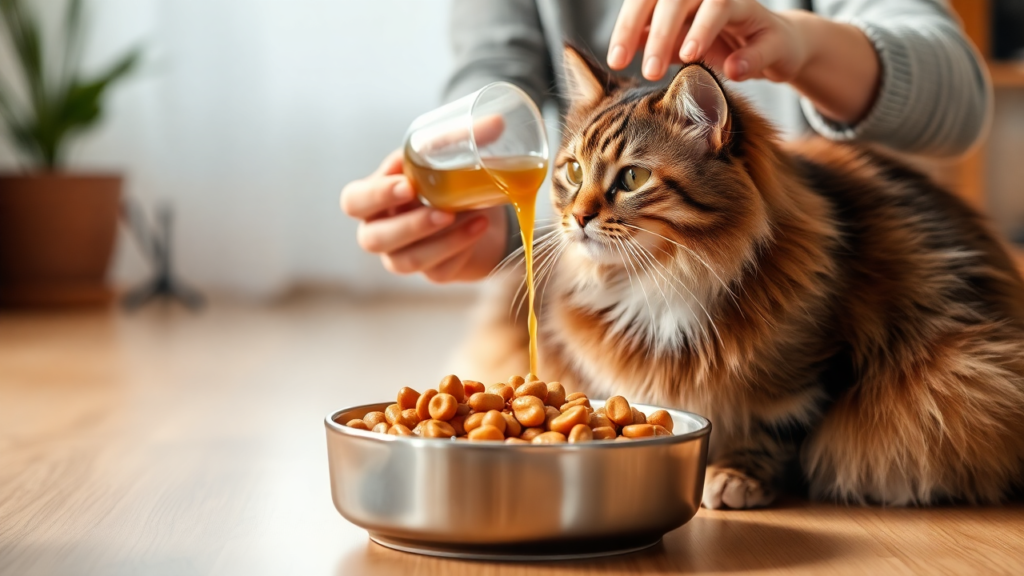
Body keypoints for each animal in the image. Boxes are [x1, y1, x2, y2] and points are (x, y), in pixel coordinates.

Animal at [460, 47, 1024, 506]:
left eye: (633, 178)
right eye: (573, 171)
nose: (577, 217)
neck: (660, 280)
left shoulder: (816, 367)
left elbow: (774, 429)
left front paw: (737, 476)